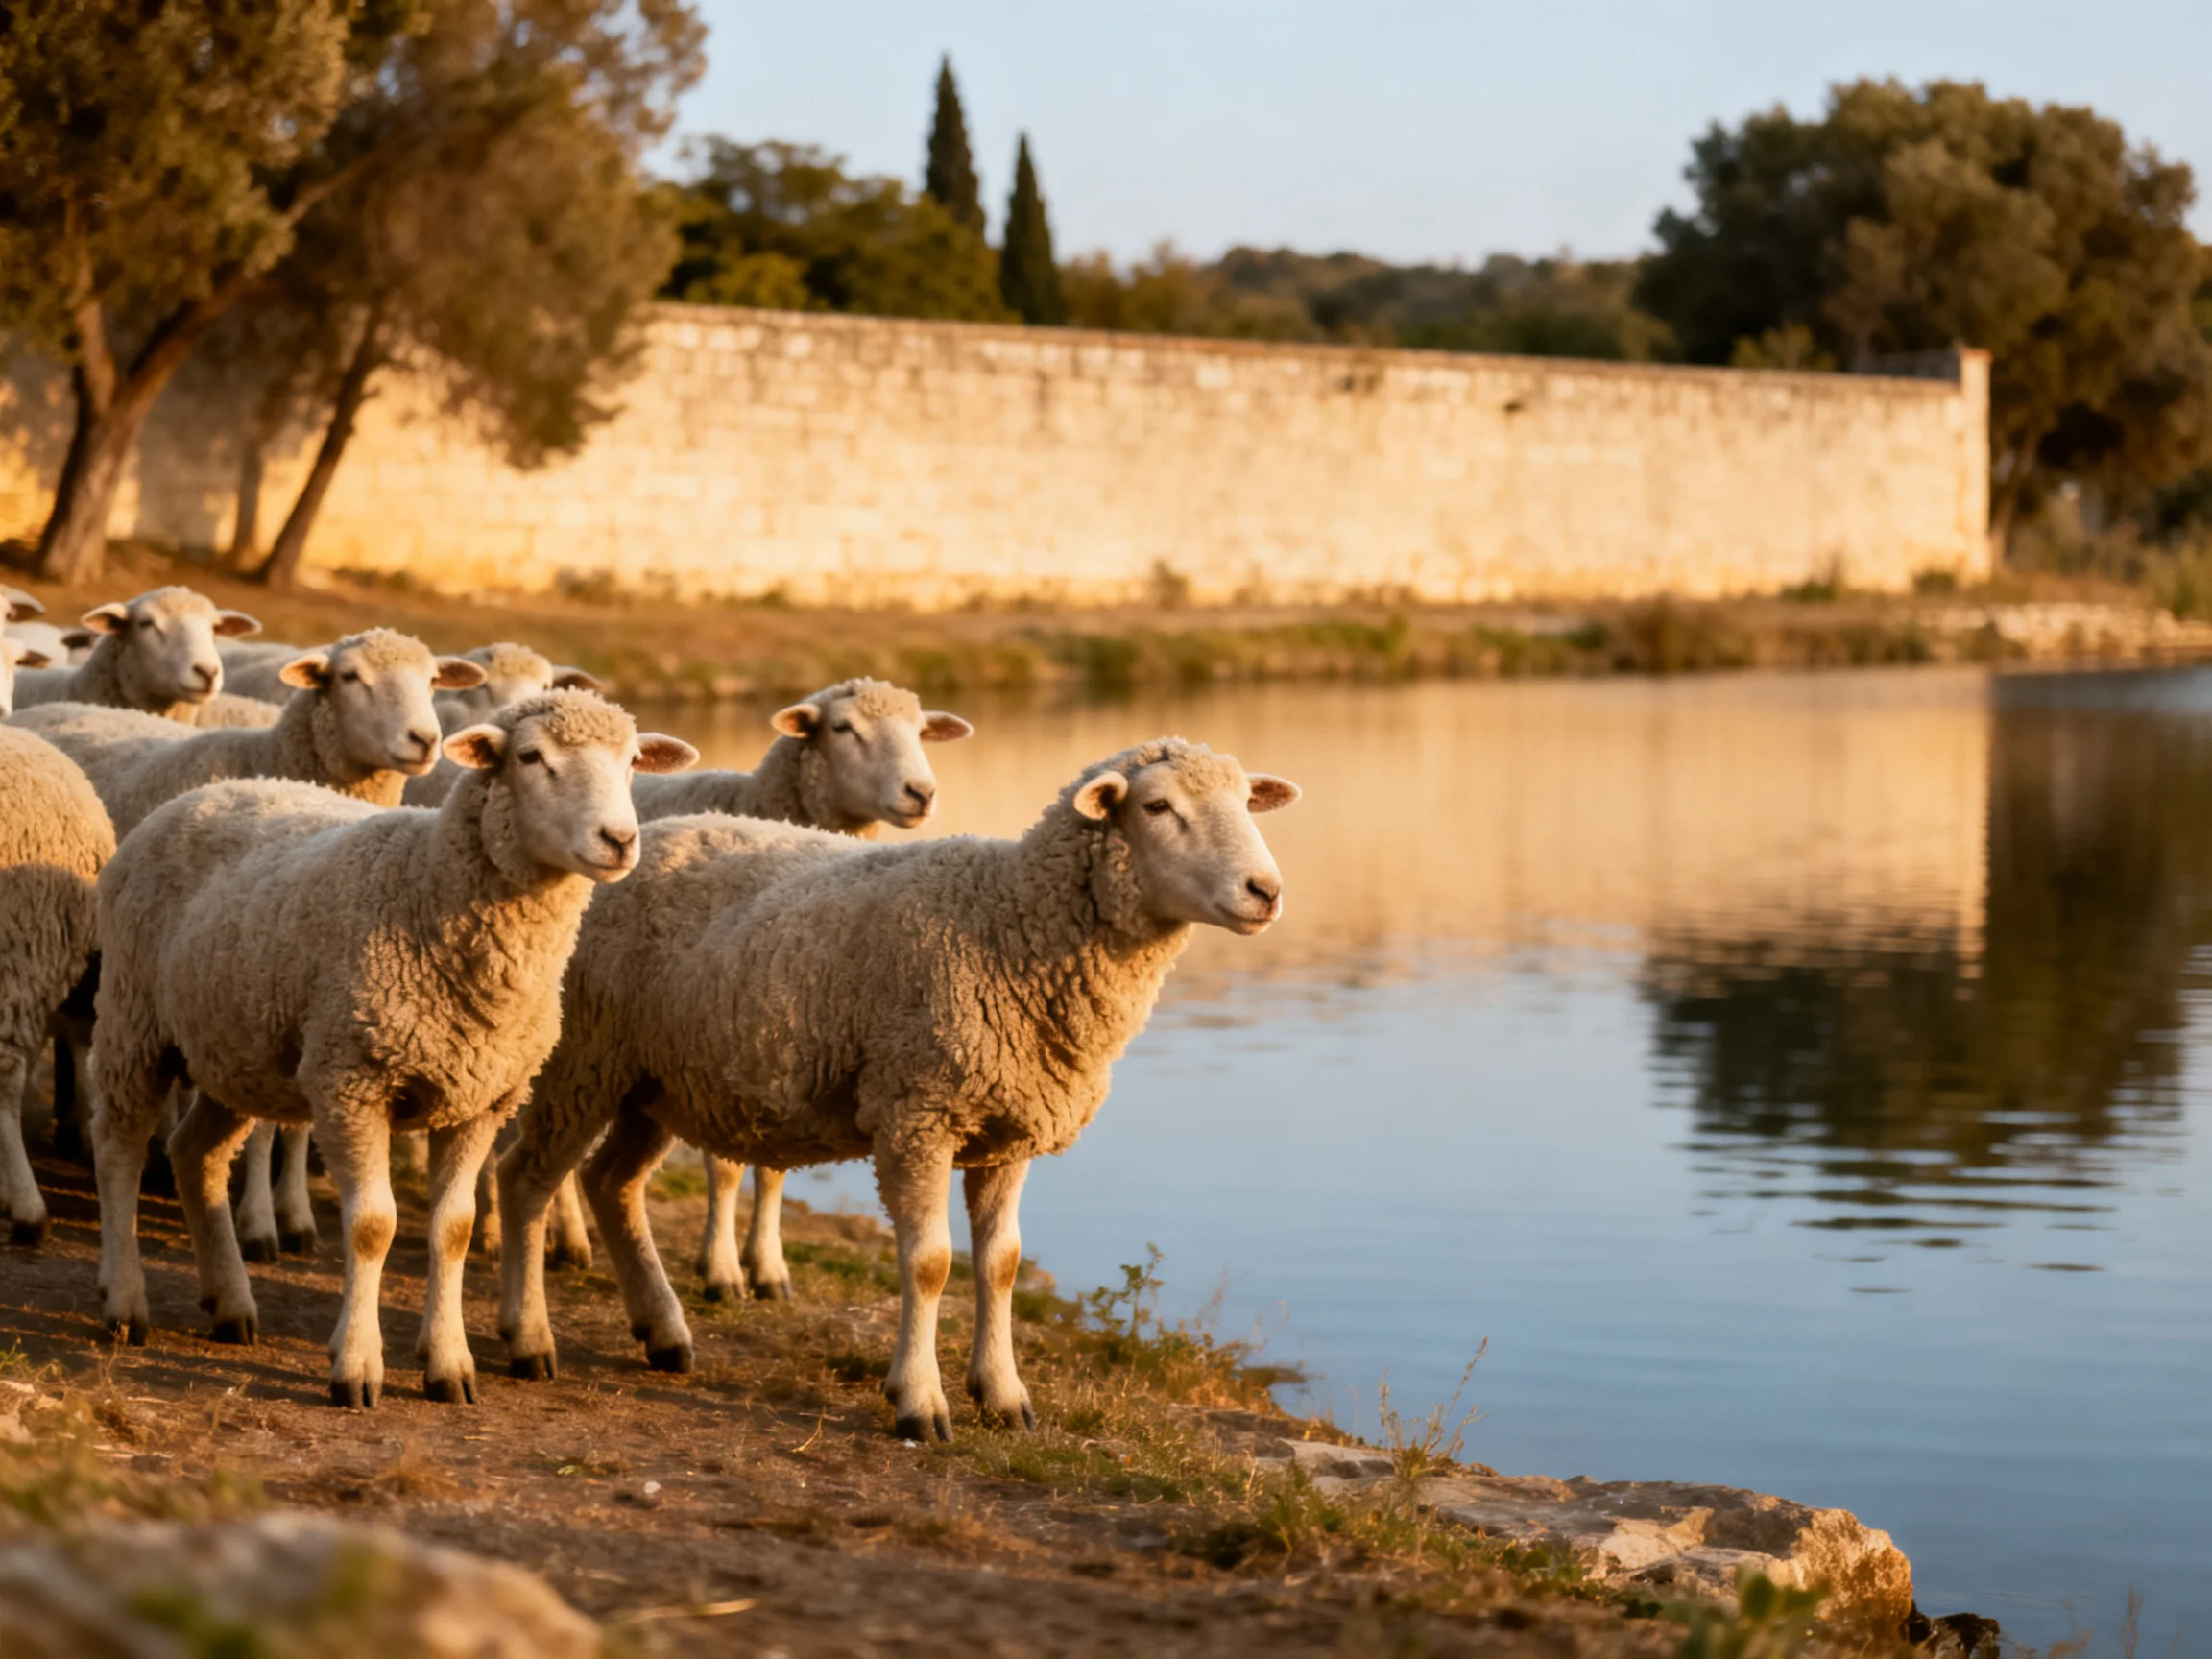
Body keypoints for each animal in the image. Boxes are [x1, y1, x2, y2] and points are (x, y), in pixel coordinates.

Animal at [89, 690, 698, 1407]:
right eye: (529, 756)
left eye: (632, 762)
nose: (620, 840)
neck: (429, 887)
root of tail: (202, 793)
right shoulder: (352, 1080)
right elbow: (372, 1225)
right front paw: (356, 1366)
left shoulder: (481, 1097)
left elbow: (454, 1228)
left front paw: (449, 1364)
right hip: (133, 1017)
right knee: (120, 1148)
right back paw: (125, 1303)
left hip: (235, 1050)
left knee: (195, 1155)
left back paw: (231, 1304)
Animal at [496, 737, 1298, 1440]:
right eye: (1158, 806)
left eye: (1245, 803)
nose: (1266, 891)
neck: (1010, 925)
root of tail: (633, 843)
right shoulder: (918, 1113)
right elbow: (931, 1263)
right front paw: (919, 1401)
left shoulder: (1008, 1129)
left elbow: (1002, 1264)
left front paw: (1002, 1394)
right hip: (583, 1056)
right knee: (528, 1180)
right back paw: (528, 1338)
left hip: (654, 1077)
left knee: (611, 1183)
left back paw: (662, 1333)